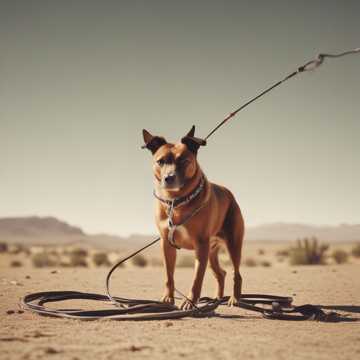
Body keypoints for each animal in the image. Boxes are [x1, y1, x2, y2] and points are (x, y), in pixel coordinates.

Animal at [142, 126, 243, 310]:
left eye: (183, 160)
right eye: (160, 161)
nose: (169, 178)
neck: (176, 202)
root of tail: (229, 194)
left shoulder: (201, 245)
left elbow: (197, 279)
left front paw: (190, 302)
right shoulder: (166, 245)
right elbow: (169, 277)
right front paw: (168, 298)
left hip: (233, 244)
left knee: (236, 273)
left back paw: (234, 299)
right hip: (211, 254)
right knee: (221, 274)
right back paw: (217, 299)